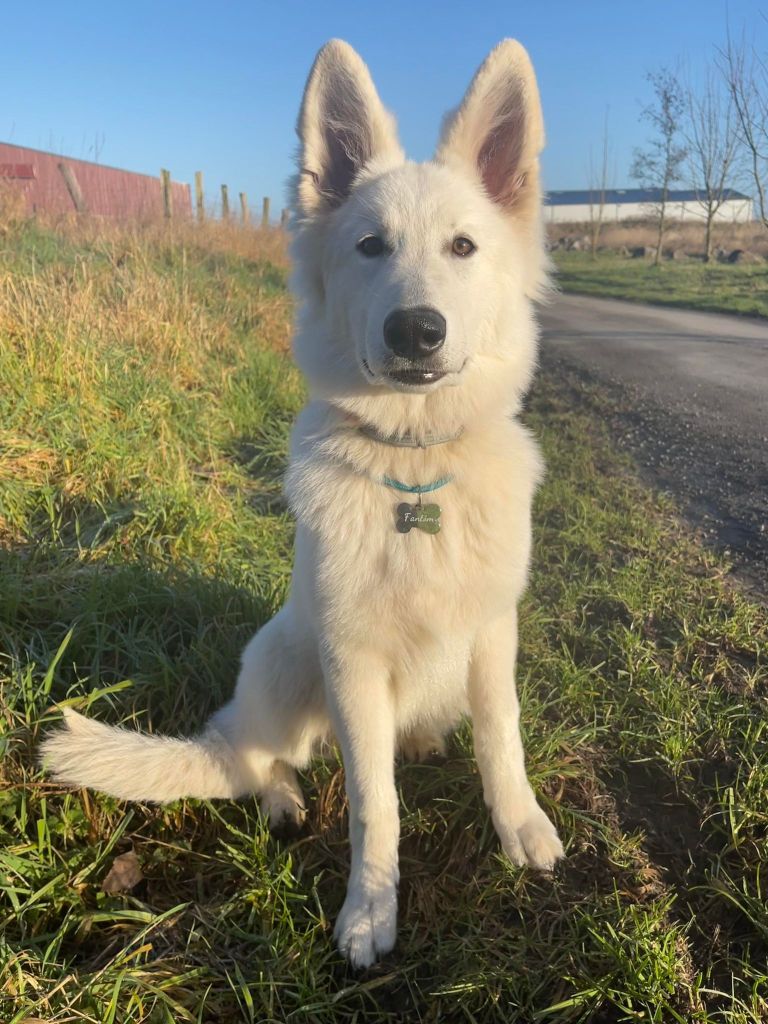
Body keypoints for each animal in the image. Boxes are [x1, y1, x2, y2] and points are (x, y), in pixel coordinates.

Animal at [45, 37, 569, 966]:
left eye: (463, 246)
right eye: (370, 246)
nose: (416, 331)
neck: (414, 467)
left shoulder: (491, 635)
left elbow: (501, 739)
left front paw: (520, 827)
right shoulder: (352, 665)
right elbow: (374, 804)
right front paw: (370, 910)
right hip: (287, 659)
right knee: (247, 753)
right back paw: (283, 798)